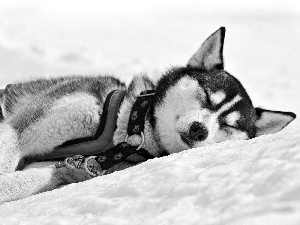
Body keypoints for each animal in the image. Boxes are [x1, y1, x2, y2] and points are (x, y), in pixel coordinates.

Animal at [0, 27, 296, 203]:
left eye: (229, 125)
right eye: (207, 95)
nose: (200, 130)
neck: (124, 131)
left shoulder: (71, 168)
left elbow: (31, 178)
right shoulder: (22, 129)